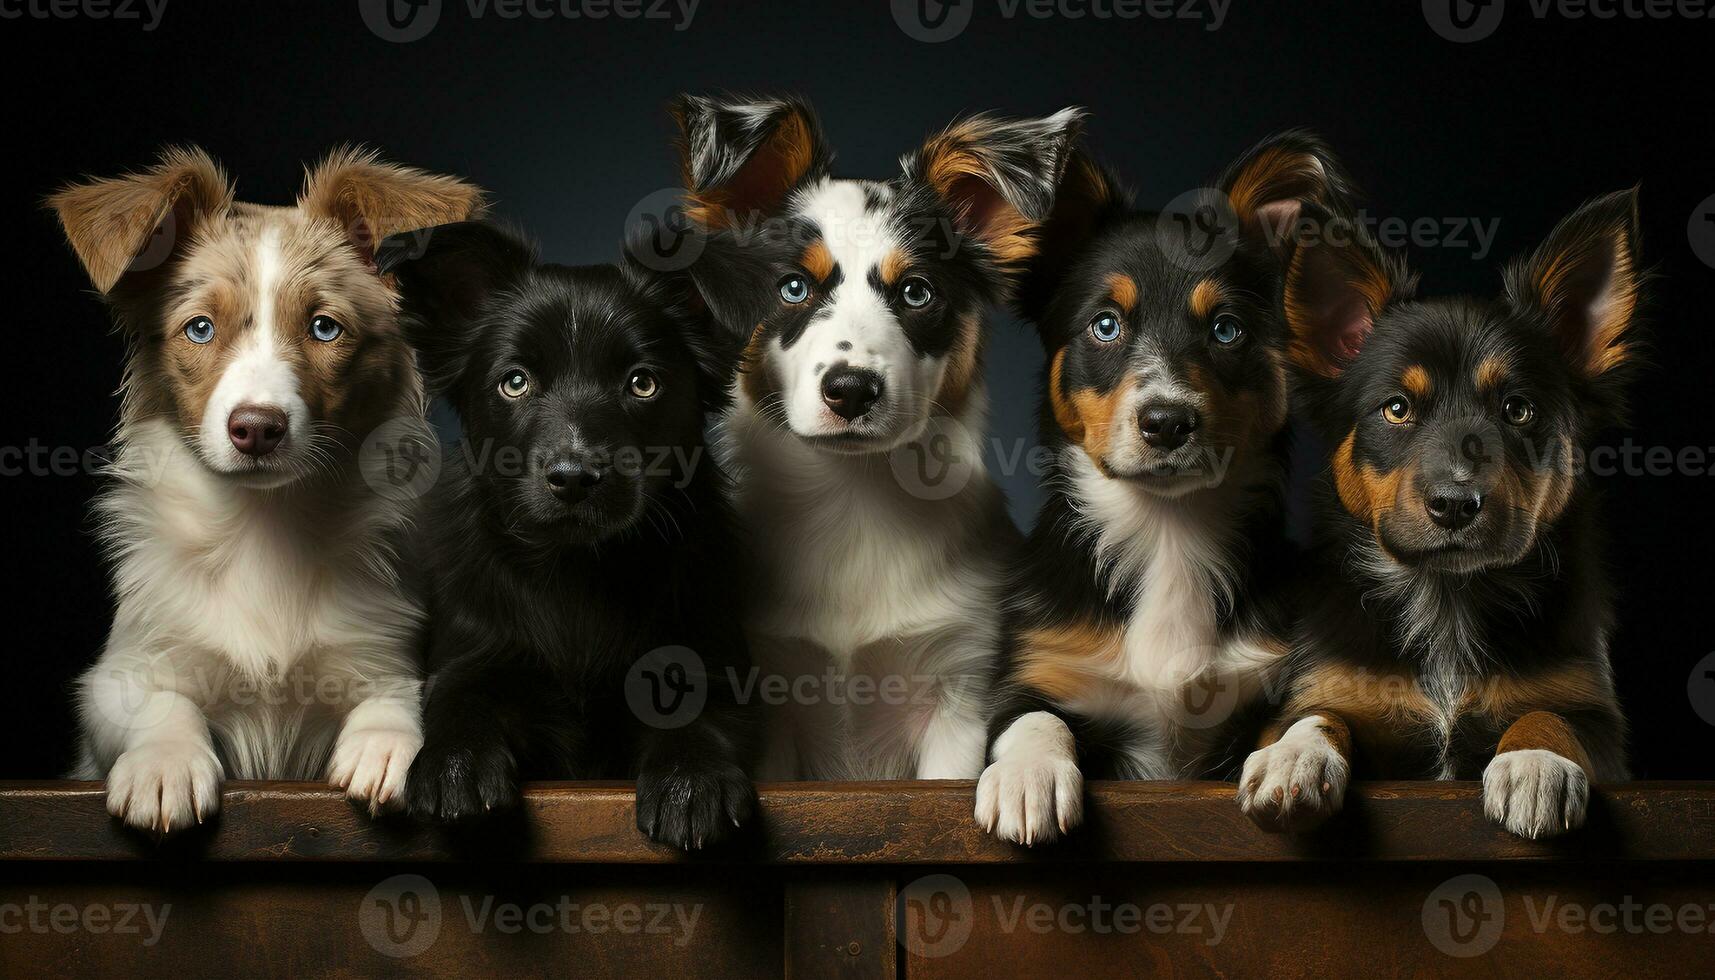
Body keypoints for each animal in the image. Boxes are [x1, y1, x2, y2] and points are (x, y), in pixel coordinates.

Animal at [45, 147, 483, 837]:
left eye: (325, 328)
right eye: (200, 329)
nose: (256, 428)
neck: (264, 522)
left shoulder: (382, 641)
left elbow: (399, 691)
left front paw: (388, 743)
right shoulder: (119, 672)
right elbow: (155, 699)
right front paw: (164, 762)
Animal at [385, 223, 761, 851]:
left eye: (642, 384)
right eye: (515, 382)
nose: (573, 477)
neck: (579, 569)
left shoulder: (710, 664)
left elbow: (699, 712)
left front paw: (690, 779)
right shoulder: (476, 647)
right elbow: (461, 696)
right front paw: (453, 765)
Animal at [668, 95, 1083, 779]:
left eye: (916, 292)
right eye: (792, 287)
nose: (852, 390)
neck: (854, 498)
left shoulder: (960, 693)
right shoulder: (769, 698)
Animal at [1241, 187, 1639, 840]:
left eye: (1518, 410)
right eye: (1397, 409)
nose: (1455, 505)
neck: (1447, 599)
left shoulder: (1595, 718)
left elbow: (1551, 716)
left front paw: (1535, 762)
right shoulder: (1335, 688)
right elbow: (1318, 715)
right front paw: (1292, 758)